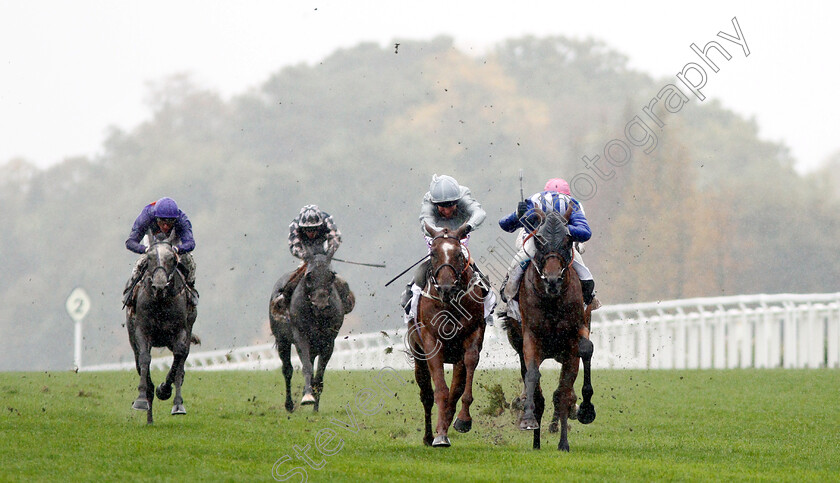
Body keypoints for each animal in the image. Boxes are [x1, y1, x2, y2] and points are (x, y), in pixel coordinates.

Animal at [125, 233, 199, 426]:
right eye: (149, 257)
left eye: (172, 258)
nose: (159, 285)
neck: (160, 301)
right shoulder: (142, 331)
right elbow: (145, 359)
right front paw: (142, 400)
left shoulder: (180, 332)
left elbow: (178, 360)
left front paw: (165, 391)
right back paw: (149, 416)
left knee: (181, 365)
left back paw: (175, 402)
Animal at [268, 253, 350, 412]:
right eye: (309, 275)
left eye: (331, 275)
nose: (320, 303)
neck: (317, 317)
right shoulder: (301, 338)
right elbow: (306, 368)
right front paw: (307, 396)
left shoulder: (328, 343)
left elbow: (318, 376)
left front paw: (315, 407)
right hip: (283, 341)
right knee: (287, 370)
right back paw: (289, 404)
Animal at [406, 225, 486, 448]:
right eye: (433, 253)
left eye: (459, 254)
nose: (446, 288)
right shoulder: (431, 341)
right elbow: (440, 390)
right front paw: (439, 435)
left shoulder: (472, 334)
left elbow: (469, 364)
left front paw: (463, 420)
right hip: (418, 356)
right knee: (426, 395)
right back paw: (428, 436)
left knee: (455, 390)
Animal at [502, 204, 592, 450]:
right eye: (539, 239)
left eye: (568, 239)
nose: (553, 281)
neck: (552, 300)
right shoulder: (531, 337)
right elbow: (533, 376)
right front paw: (528, 420)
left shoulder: (572, 340)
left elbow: (564, 391)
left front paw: (565, 441)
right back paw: (535, 440)